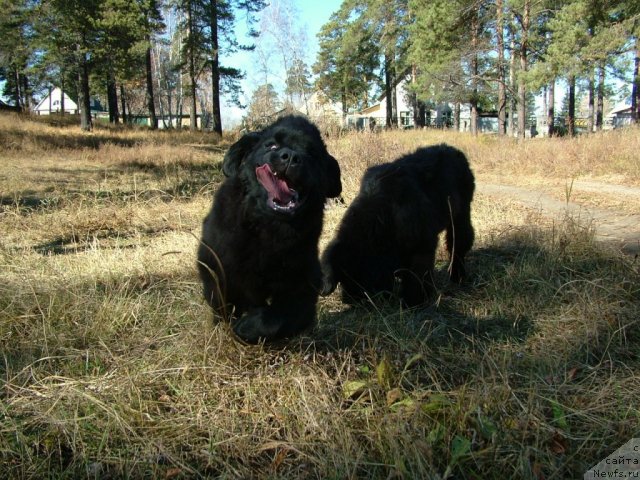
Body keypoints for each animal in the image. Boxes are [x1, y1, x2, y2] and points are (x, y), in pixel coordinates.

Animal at [198, 114, 342, 344]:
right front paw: (231, 324)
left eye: (312, 153)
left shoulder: (303, 281)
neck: (270, 228)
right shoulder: (216, 261)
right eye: (271, 145)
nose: (290, 157)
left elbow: (278, 319)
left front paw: (247, 327)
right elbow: (223, 298)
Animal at [320, 143, 476, 308]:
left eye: (361, 278)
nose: (352, 300)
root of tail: (455, 151)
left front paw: (413, 302)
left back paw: (457, 275)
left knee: (459, 241)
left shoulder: (421, 245)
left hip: (461, 213)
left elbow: (417, 276)